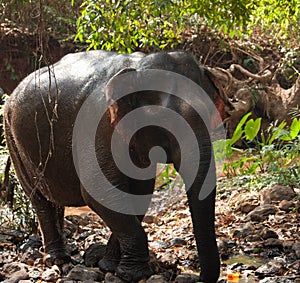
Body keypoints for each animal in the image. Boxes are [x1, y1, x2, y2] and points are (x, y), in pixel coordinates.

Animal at [4, 50, 230, 282]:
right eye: (167, 122)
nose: (198, 277)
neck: (137, 67)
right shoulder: (97, 124)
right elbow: (98, 192)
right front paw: (132, 274)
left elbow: (139, 193)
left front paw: (109, 266)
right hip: (12, 138)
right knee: (40, 199)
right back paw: (57, 260)